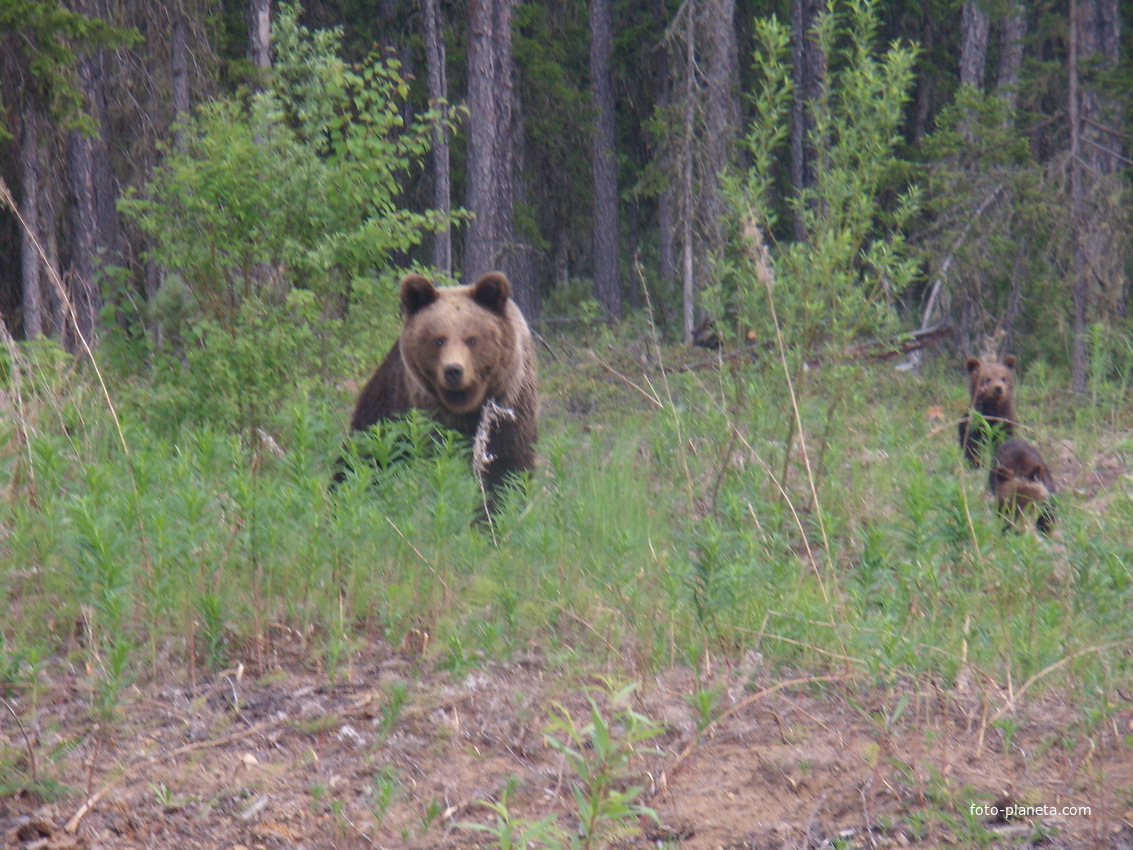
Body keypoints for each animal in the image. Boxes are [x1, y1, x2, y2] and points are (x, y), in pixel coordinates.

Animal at [337, 273, 537, 516]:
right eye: (438, 339)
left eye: (472, 339)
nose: (453, 370)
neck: (465, 404)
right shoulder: (411, 408)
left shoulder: (508, 412)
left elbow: (506, 471)